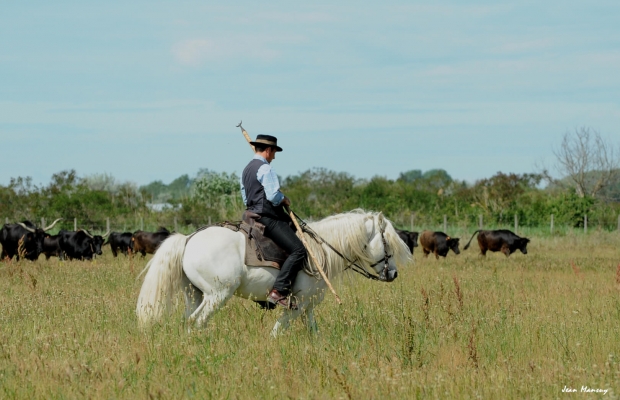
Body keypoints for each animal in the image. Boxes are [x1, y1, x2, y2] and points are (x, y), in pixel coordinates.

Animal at [136, 209, 412, 338]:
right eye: (388, 242)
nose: (393, 274)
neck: (321, 250)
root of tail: (188, 239)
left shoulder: (308, 306)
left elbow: (314, 332)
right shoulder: (297, 305)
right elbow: (277, 332)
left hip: (194, 294)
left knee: (188, 322)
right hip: (217, 296)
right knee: (196, 322)